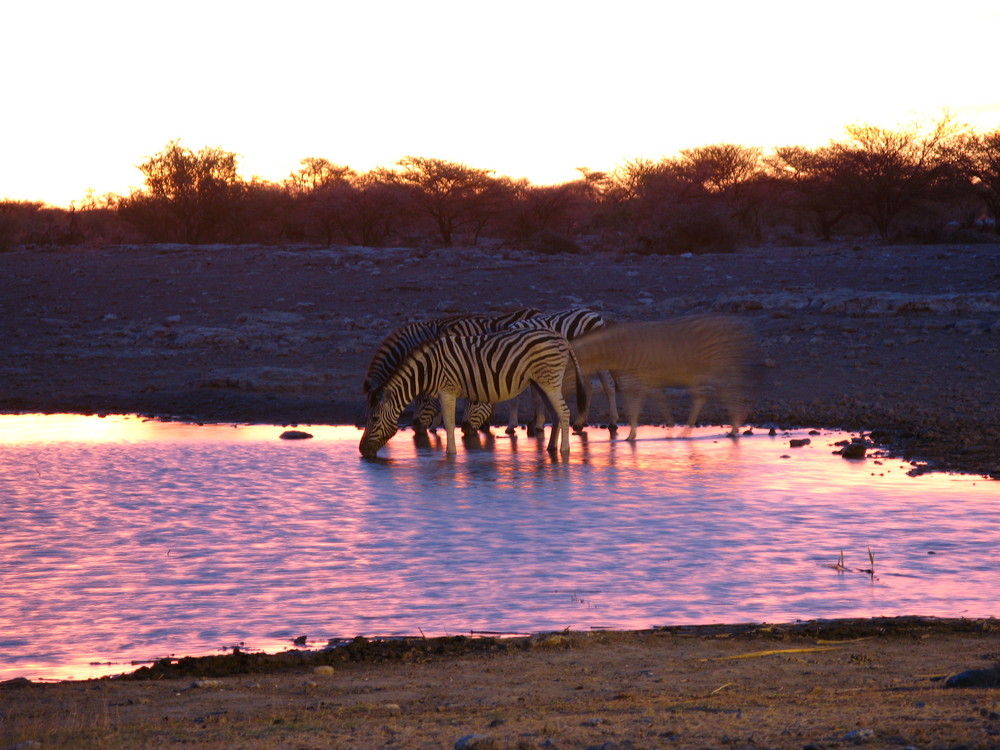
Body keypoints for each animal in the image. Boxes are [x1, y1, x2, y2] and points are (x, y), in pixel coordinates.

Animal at [360, 328, 584, 458]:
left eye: (375, 418)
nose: (362, 451)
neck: (427, 369)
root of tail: (561, 338)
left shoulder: (447, 390)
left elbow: (449, 424)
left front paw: (450, 455)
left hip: (549, 381)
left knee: (564, 412)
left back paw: (564, 451)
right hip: (540, 383)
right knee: (556, 414)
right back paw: (551, 449)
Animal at [460, 308, 616, 438]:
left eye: (475, 402)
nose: (464, 429)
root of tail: (593, 313)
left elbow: (521, 398)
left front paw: (517, 425)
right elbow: (534, 397)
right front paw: (535, 422)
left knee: (608, 384)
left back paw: (612, 422)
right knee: (588, 387)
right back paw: (580, 421)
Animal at [568, 316, 752, 440]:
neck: (615, 348)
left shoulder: (634, 378)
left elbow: (633, 406)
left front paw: (630, 435)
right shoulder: (641, 378)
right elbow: (655, 399)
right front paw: (667, 424)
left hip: (714, 367)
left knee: (729, 390)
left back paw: (733, 428)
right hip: (700, 372)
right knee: (704, 396)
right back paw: (691, 431)